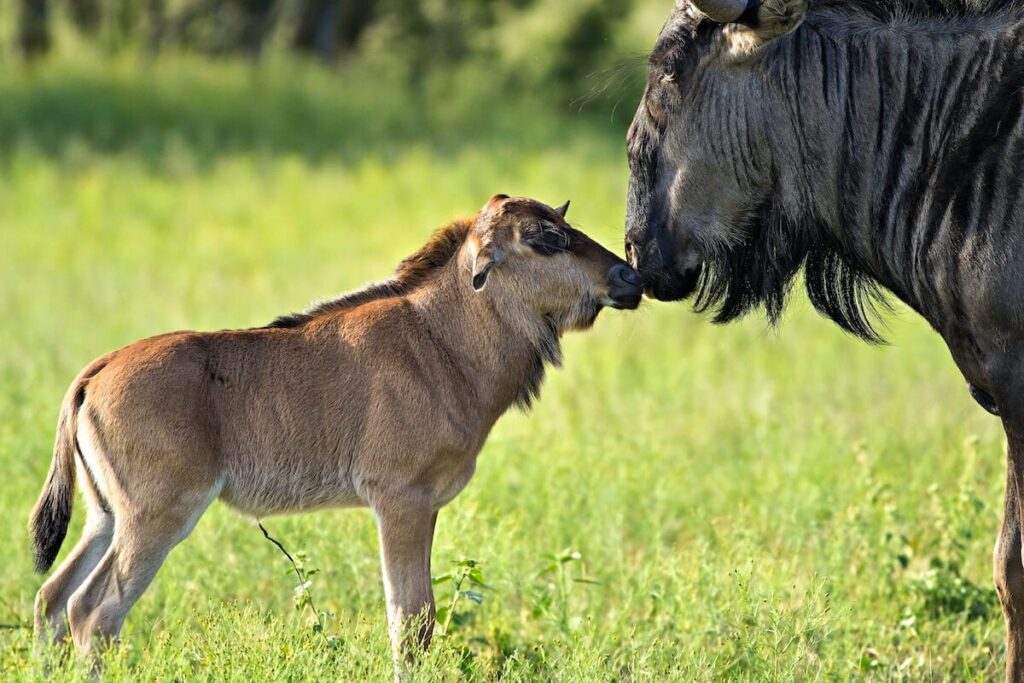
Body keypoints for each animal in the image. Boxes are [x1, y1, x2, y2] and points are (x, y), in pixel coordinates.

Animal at [29, 194, 643, 664]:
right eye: (545, 238)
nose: (628, 275)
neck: (441, 341)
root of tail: (95, 373)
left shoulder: (427, 506)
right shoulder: (399, 500)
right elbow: (410, 624)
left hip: (105, 516)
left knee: (52, 599)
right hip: (157, 517)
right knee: (94, 613)